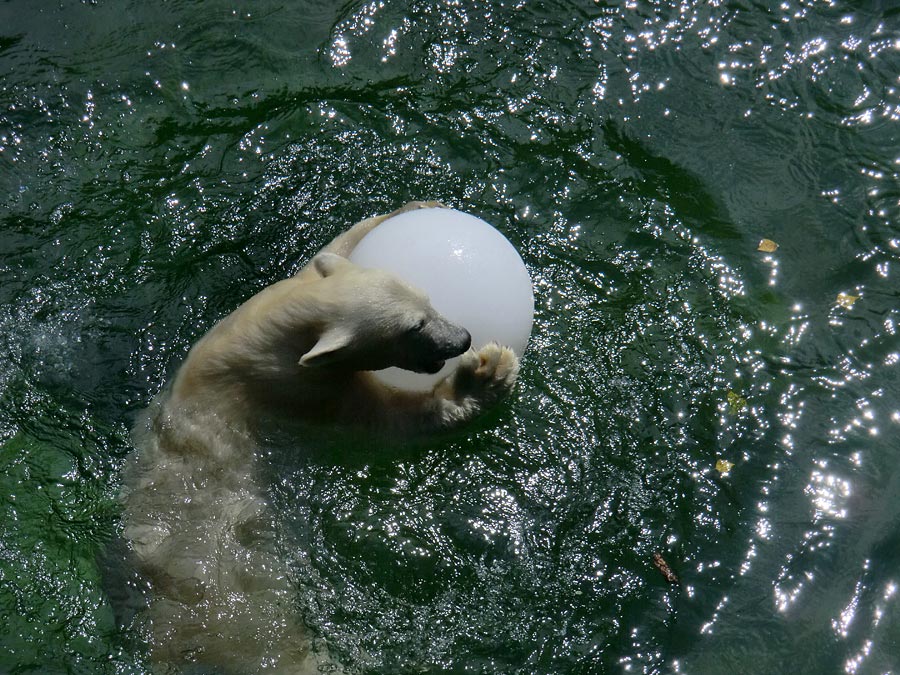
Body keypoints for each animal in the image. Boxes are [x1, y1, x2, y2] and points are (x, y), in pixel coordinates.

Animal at [125, 202, 520, 675]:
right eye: (415, 326)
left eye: (428, 298)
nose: (462, 338)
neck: (260, 341)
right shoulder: (302, 393)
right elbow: (391, 423)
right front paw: (487, 373)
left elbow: (331, 252)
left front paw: (416, 207)